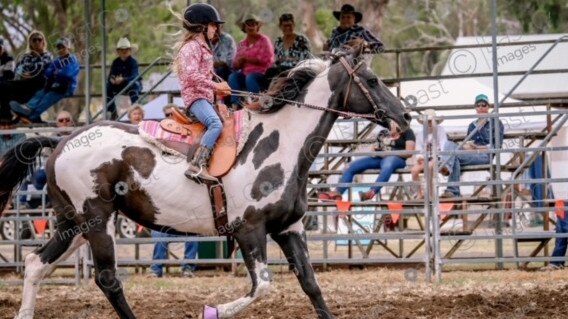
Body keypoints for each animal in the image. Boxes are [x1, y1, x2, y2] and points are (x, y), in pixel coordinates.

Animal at [0, 45, 408, 319]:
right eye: (373, 80)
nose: (403, 117)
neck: (283, 143)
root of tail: (62, 141)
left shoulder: (289, 228)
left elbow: (311, 285)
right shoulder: (249, 230)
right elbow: (262, 285)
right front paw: (213, 310)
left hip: (75, 225)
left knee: (36, 263)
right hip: (96, 222)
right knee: (107, 279)